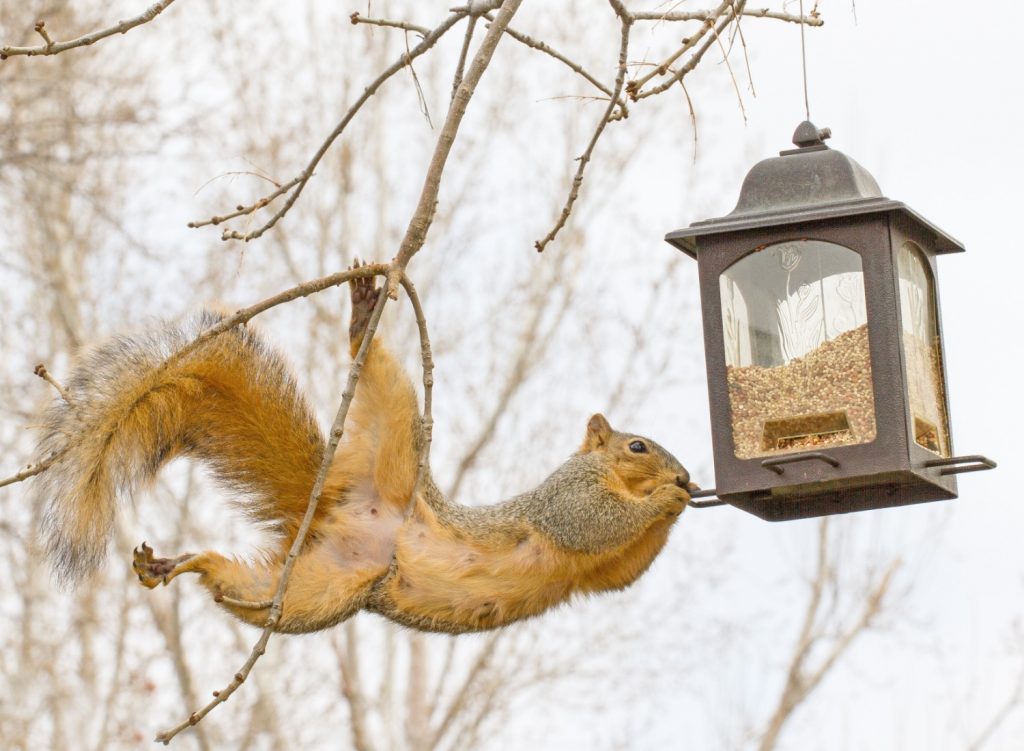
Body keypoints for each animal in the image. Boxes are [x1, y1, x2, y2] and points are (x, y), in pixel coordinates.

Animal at [32, 266, 696, 631]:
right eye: (638, 446)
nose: (687, 476)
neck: (604, 472)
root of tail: (335, 508)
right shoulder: (565, 499)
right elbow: (593, 523)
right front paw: (667, 498)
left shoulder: (598, 575)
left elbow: (623, 568)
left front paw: (680, 499)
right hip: (396, 431)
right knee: (379, 376)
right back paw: (361, 317)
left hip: (311, 594)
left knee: (237, 587)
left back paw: (178, 564)